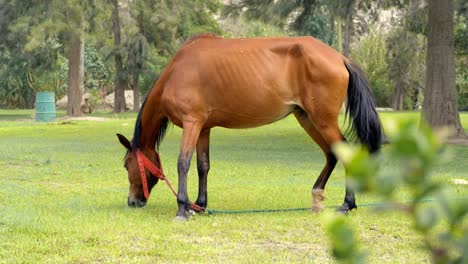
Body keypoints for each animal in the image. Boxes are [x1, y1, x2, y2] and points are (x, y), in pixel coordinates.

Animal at [116, 34, 380, 222]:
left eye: (127, 164)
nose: (132, 202)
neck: (176, 72)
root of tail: (340, 58)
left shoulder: (191, 124)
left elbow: (184, 163)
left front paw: (182, 208)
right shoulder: (203, 128)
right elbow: (203, 166)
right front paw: (199, 205)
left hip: (322, 120)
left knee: (343, 153)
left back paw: (347, 204)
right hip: (307, 118)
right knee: (331, 154)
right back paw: (318, 197)